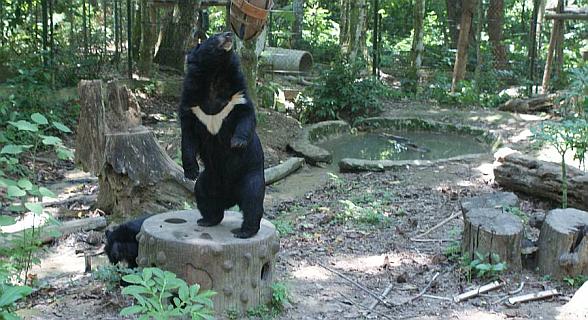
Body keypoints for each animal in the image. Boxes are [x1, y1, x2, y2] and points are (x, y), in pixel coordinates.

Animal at [177, 32, 264, 239]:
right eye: (214, 37)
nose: (229, 34)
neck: (214, 74)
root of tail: (230, 197)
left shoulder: (237, 96)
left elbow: (246, 116)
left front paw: (237, 143)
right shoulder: (191, 104)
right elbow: (188, 136)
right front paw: (191, 171)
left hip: (250, 174)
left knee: (252, 200)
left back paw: (245, 231)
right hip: (210, 177)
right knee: (203, 194)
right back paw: (207, 220)